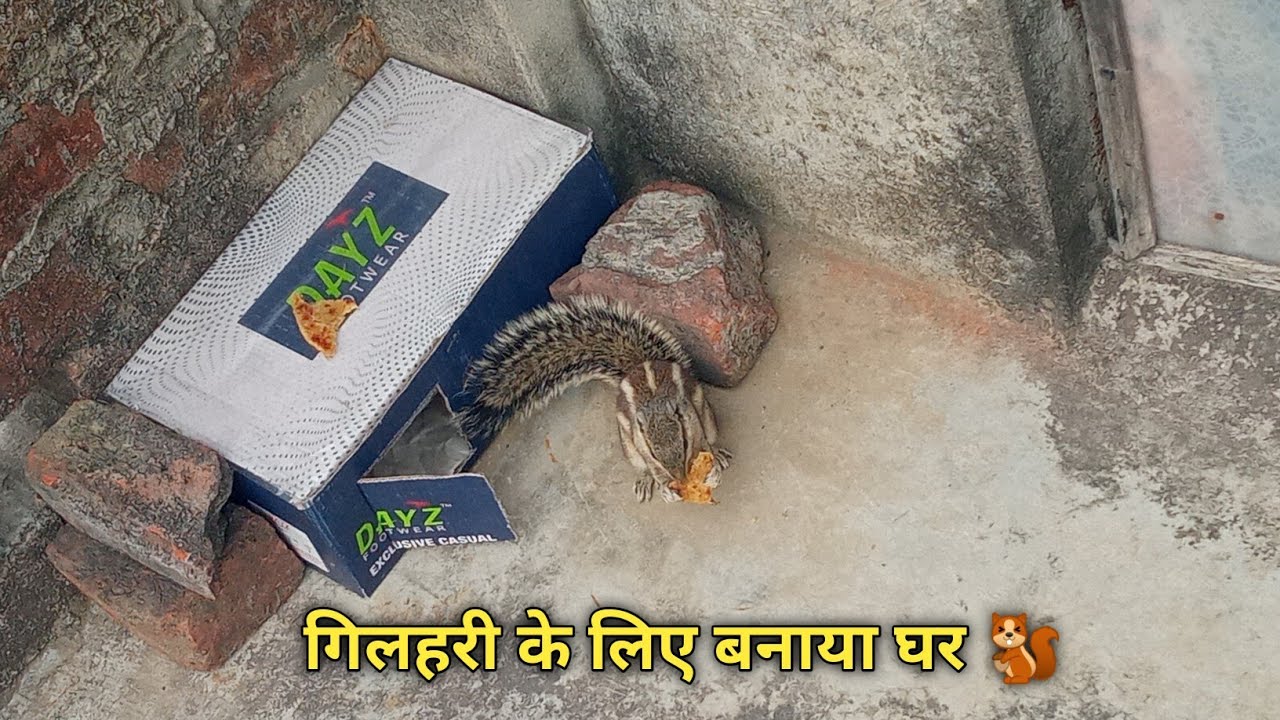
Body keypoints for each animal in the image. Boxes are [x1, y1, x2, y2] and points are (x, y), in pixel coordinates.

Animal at [456, 296, 731, 502]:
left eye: (684, 442)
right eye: (653, 453)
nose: (680, 480)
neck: (656, 408)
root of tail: (636, 366)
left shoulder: (693, 420)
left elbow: (704, 444)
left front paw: (713, 469)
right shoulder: (639, 442)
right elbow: (653, 469)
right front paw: (666, 487)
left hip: (707, 415)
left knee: (712, 434)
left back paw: (720, 454)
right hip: (628, 447)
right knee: (639, 465)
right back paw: (644, 482)